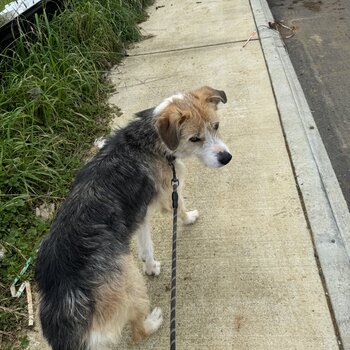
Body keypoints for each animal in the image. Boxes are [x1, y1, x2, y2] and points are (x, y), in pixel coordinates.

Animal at [34, 85, 232, 350]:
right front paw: (189, 217)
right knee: (138, 332)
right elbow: (180, 208)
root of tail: (66, 296)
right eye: (194, 138)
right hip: (129, 280)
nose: (226, 158)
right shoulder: (170, 192)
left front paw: (150, 265)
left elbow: (146, 245)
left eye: (216, 126)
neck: (153, 139)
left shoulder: (140, 214)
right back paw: (154, 322)